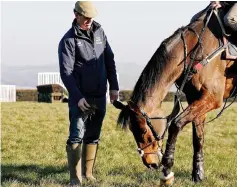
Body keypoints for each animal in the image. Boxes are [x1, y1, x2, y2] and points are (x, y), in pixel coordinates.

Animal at [112, 5, 236, 186]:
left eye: (142, 130)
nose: (150, 163)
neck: (194, 50)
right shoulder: (196, 99)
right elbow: (198, 137)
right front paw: (198, 173)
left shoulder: (212, 98)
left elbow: (176, 124)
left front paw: (167, 167)